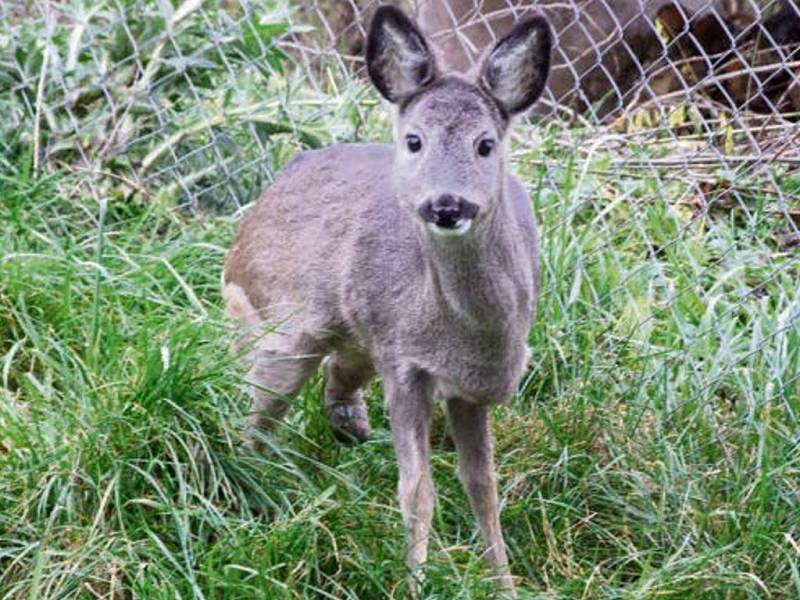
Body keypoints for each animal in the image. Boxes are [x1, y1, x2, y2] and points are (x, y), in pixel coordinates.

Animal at [222, 5, 552, 596]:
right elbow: (417, 489)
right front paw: (415, 582)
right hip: (275, 325)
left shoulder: (470, 388)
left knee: (335, 372)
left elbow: (483, 488)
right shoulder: (404, 362)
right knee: (255, 418)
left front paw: (505, 584)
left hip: (354, 334)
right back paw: (250, 497)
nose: (446, 205)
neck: (466, 335)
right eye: (415, 140)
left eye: (485, 144)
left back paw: (348, 428)